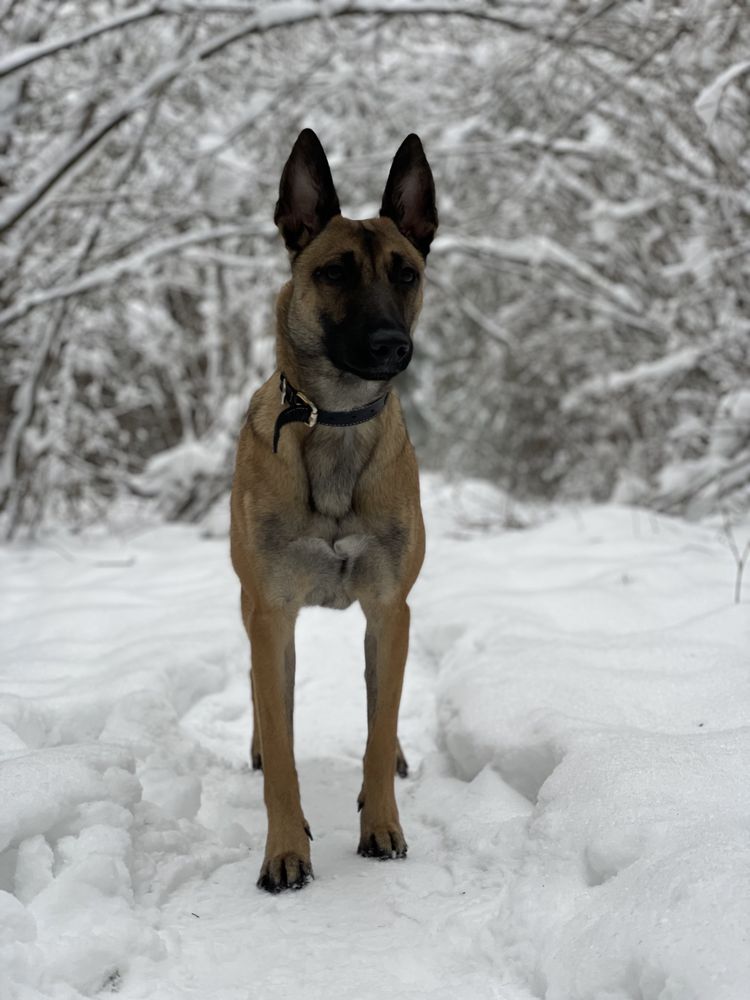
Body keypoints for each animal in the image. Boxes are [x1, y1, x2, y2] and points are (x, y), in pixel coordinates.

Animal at [232, 127, 438, 892]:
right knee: (266, 700)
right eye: (335, 273)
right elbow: (282, 749)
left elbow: (377, 730)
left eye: (405, 273)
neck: (339, 422)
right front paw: (286, 848)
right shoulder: (270, 612)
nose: (390, 347)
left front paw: (380, 824)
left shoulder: (389, 609)